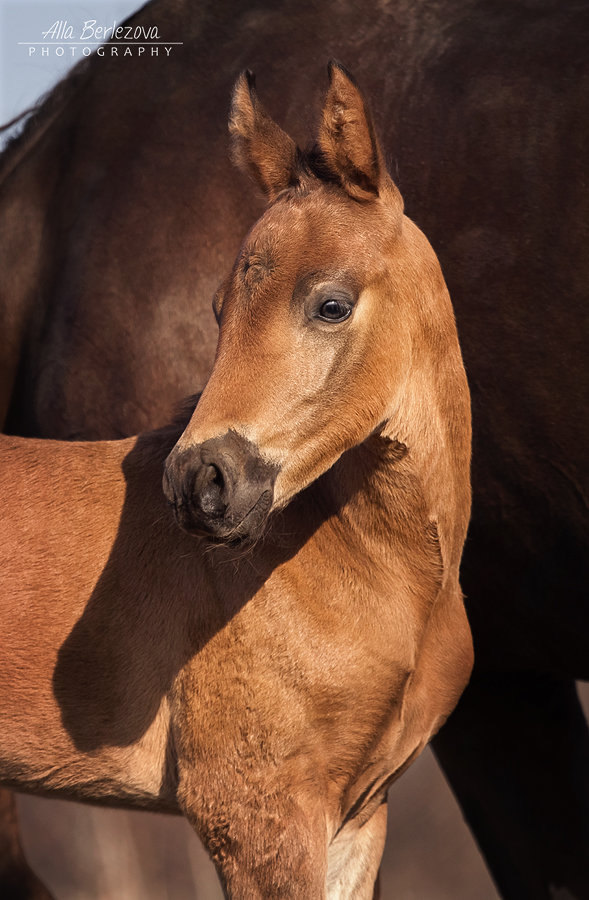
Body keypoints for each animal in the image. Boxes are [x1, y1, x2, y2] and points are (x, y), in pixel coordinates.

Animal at [0, 1, 584, 900]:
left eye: (330, 304)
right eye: (216, 307)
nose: (198, 484)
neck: (362, 565)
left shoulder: (354, 819)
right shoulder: (255, 813)